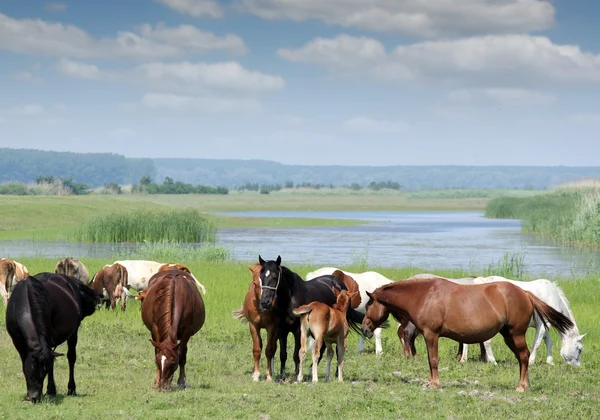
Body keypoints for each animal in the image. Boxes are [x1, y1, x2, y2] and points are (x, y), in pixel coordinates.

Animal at [5, 272, 99, 400]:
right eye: (33, 368)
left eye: (43, 372)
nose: (34, 396)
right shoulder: (17, 341)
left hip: (73, 332)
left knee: (71, 357)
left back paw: (70, 389)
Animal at [360, 278, 572, 392]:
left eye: (369, 305)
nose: (365, 328)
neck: (424, 296)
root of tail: (525, 293)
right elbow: (429, 360)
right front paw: (430, 382)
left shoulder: (431, 335)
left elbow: (433, 360)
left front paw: (435, 384)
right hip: (508, 336)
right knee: (522, 358)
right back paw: (525, 384)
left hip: (516, 334)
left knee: (525, 357)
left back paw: (521, 386)